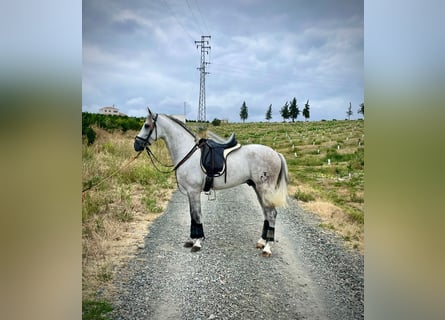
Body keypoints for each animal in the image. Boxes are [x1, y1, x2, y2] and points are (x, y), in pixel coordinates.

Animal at [134, 109, 290, 256]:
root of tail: (276, 154)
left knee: (271, 214)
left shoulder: (194, 191)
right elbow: (192, 216)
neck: (188, 153)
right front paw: (191, 240)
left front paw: (197, 243)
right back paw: (262, 242)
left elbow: (196, 215)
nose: (136, 145)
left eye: (147, 125)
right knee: (266, 214)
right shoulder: (191, 193)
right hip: (258, 189)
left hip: (265, 189)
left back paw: (267, 248)